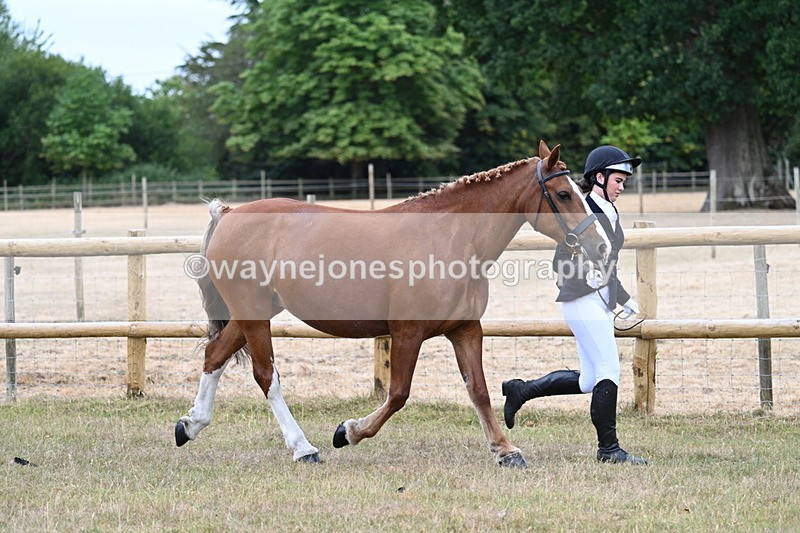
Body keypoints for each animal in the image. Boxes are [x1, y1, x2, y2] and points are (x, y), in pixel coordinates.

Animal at [174, 141, 610, 468]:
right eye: (564, 194)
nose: (601, 246)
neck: (452, 237)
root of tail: (230, 213)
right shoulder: (407, 332)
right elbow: (398, 394)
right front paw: (348, 432)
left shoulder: (465, 330)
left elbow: (479, 390)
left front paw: (505, 450)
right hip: (254, 315)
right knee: (266, 375)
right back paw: (303, 448)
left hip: (253, 312)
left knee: (215, 355)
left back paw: (190, 425)